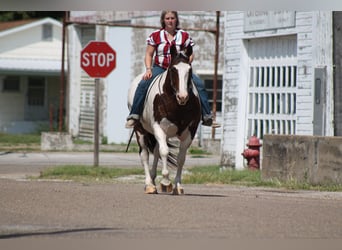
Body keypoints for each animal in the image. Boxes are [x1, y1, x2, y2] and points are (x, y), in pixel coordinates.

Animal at [127, 44, 200, 194]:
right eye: (173, 69)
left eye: (189, 69)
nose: (183, 96)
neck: (177, 106)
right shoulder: (158, 127)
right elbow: (164, 151)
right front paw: (166, 181)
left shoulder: (190, 131)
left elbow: (181, 158)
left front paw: (177, 185)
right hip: (140, 130)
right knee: (145, 154)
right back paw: (149, 184)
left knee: (155, 151)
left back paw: (154, 179)